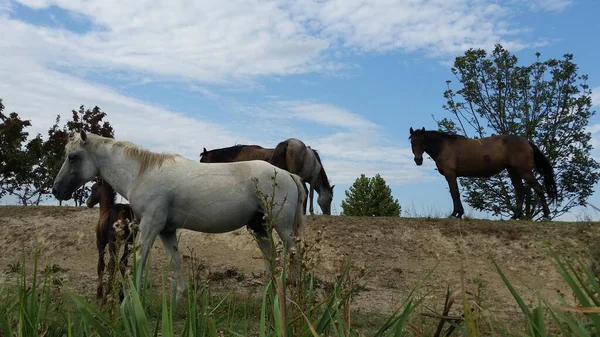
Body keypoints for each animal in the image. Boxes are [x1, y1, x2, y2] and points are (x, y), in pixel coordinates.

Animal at [52, 131, 308, 296]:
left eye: (72, 157)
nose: (56, 190)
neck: (141, 172)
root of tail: (288, 175)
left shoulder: (150, 227)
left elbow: (139, 259)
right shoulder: (166, 231)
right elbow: (175, 260)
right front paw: (181, 297)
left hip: (282, 227)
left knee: (293, 254)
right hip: (259, 228)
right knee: (269, 256)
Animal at [408, 127, 556, 219]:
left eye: (422, 141)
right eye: (412, 141)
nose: (418, 160)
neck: (444, 145)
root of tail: (526, 142)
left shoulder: (451, 174)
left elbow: (455, 193)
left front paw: (456, 214)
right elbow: (454, 193)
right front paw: (458, 213)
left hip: (524, 171)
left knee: (538, 188)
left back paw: (546, 215)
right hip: (513, 171)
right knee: (520, 191)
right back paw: (516, 216)